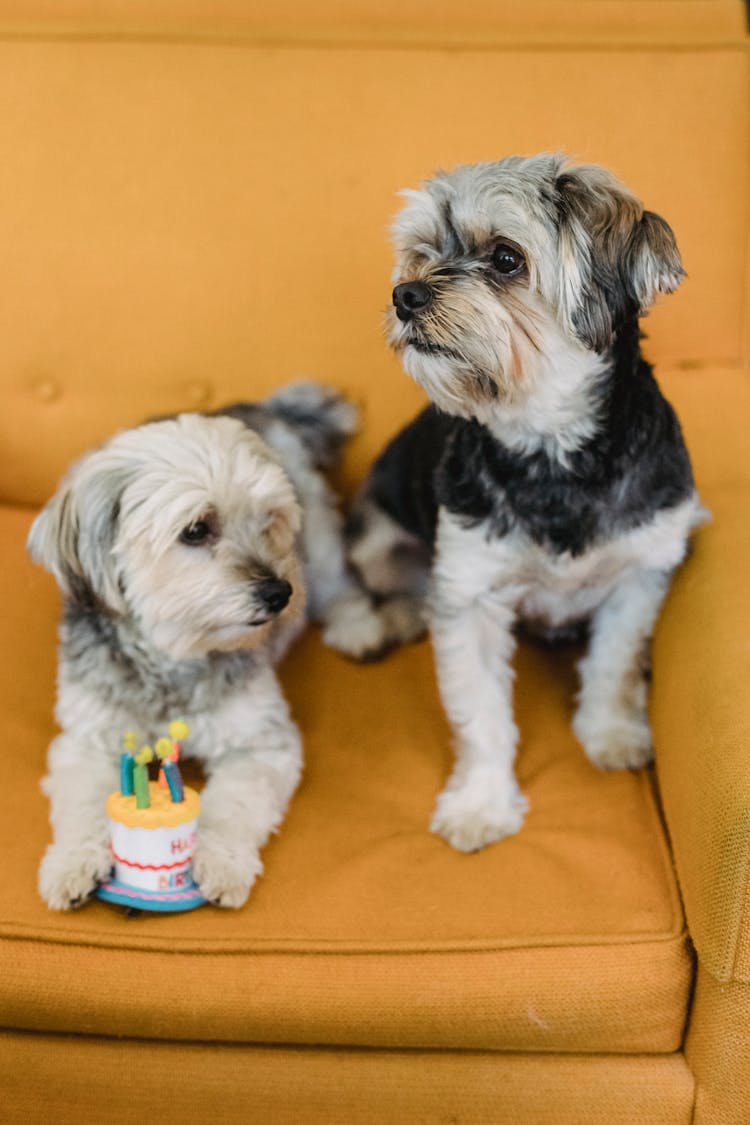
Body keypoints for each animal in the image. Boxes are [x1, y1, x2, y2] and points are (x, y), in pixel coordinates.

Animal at [31, 378, 377, 904]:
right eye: (196, 529)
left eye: (268, 521)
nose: (280, 593)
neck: (172, 658)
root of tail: (261, 405)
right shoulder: (84, 742)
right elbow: (81, 808)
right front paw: (72, 863)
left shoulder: (261, 744)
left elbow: (232, 806)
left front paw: (221, 862)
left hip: (318, 543)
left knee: (339, 583)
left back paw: (357, 626)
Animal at [346, 154, 710, 846]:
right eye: (421, 254)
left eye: (506, 258)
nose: (405, 295)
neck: (551, 451)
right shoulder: (470, 594)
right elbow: (481, 715)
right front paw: (481, 805)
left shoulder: (641, 571)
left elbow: (616, 662)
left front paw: (612, 732)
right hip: (379, 539)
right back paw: (376, 625)